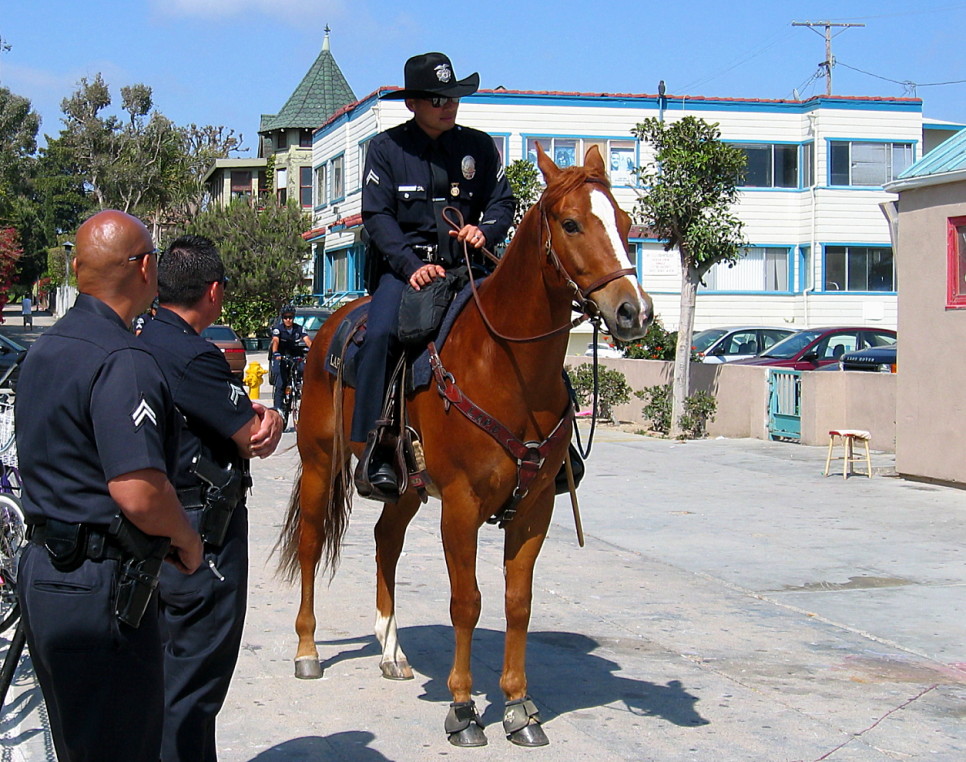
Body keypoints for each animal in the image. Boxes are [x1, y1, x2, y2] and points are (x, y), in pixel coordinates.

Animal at [280, 142, 656, 744]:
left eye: (623, 223)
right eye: (572, 223)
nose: (633, 311)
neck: (507, 367)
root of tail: (329, 329)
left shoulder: (535, 508)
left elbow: (517, 602)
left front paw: (518, 707)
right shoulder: (459, 505)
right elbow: (467, 602)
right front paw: (462, 708)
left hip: (405, 486)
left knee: (386, 543)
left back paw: (390, 651)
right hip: (321, 465)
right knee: (312, 543)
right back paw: (308, 649)